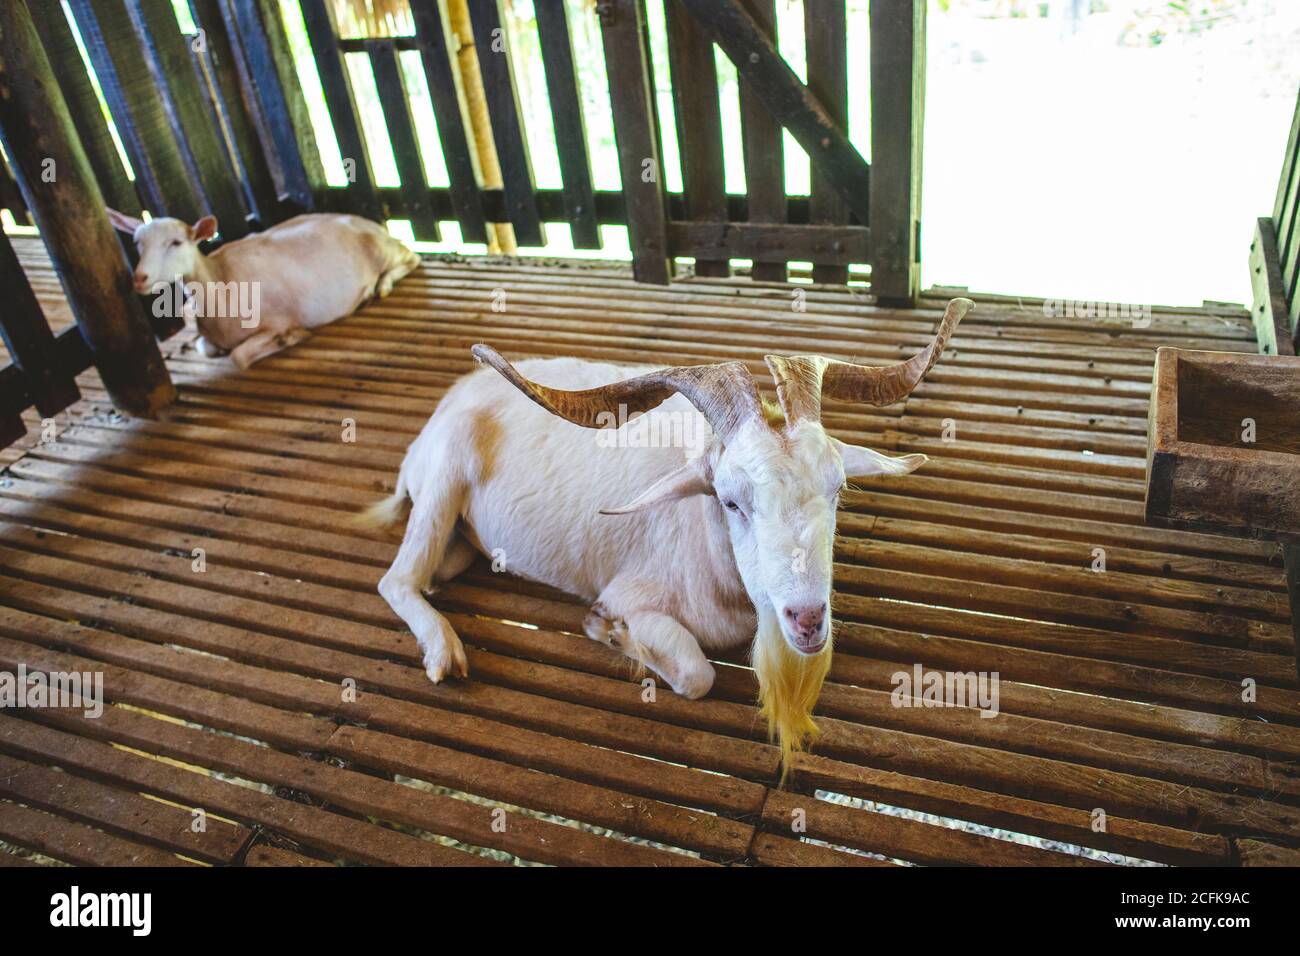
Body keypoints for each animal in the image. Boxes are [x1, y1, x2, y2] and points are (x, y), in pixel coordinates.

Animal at [106, 210, 420, 368]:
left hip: (385, 250)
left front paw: (290, 338)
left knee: (412, 257)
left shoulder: (277, 319)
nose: (140, 278)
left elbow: (239, 357)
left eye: (176, 242)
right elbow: (205, 347)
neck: (220, 285)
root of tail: (376, 226)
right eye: (137, 242)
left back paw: (377, 287)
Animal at [363, 297, 973, 771]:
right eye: (730, 500)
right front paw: (607, 631)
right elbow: (698, 674)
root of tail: (452, 399)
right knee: (396, 580)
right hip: (445, 476)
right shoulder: (632, 593)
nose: (806, 620)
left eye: (839, 488)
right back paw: (444, 651)